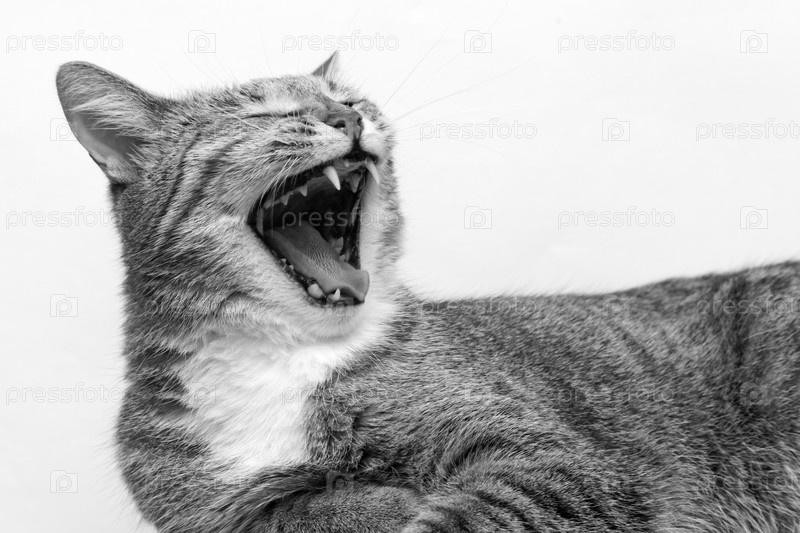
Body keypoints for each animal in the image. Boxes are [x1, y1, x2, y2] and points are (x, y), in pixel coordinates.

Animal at [56, 54, 800, 532]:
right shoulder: (205, 505)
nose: (347, 115)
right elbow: (291, 510)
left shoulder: (550, 451)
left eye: (350, 95)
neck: (286, 355)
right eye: (262, 109)